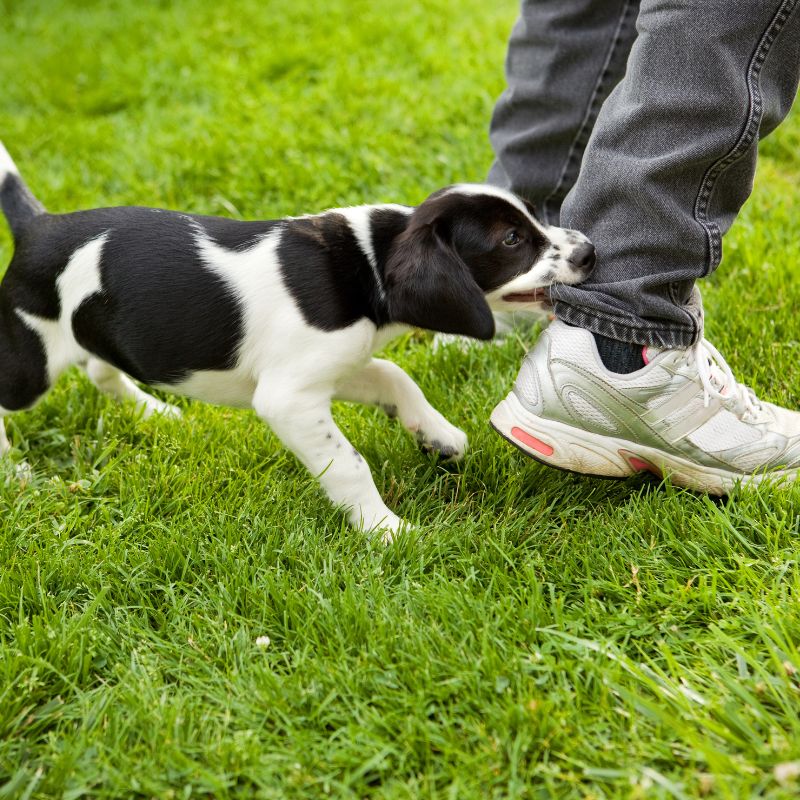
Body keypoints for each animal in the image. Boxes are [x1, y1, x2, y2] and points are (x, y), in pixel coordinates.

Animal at [0, 144, 592, 540]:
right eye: (512, 240)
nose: (589, 251)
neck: (369, 261)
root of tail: (39, 226)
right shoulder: (288, 398)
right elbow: (350, 464)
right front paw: (385, 529)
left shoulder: (333, 366)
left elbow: (395, 376)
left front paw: (438, 435)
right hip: (32, 360)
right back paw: (13, 470)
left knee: (101, 368)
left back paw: (155, 412)